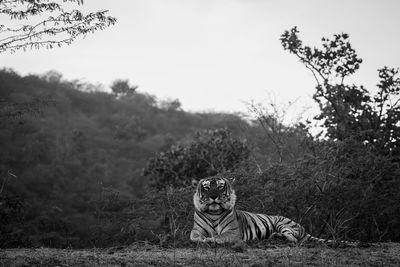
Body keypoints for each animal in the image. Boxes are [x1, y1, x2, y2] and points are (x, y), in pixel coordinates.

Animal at [191, 176, 354, 247]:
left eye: (220, 187)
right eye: (206, 187)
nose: (213, 196)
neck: (213, 213)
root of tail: (303, 229)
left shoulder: (232, 232)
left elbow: (219, 236)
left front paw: (210, 239)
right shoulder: (195, 230)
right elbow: (194, 237)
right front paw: (202, 239)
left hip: (283, 223)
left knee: (294, 239)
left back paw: (276, 237)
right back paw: (274, 236)